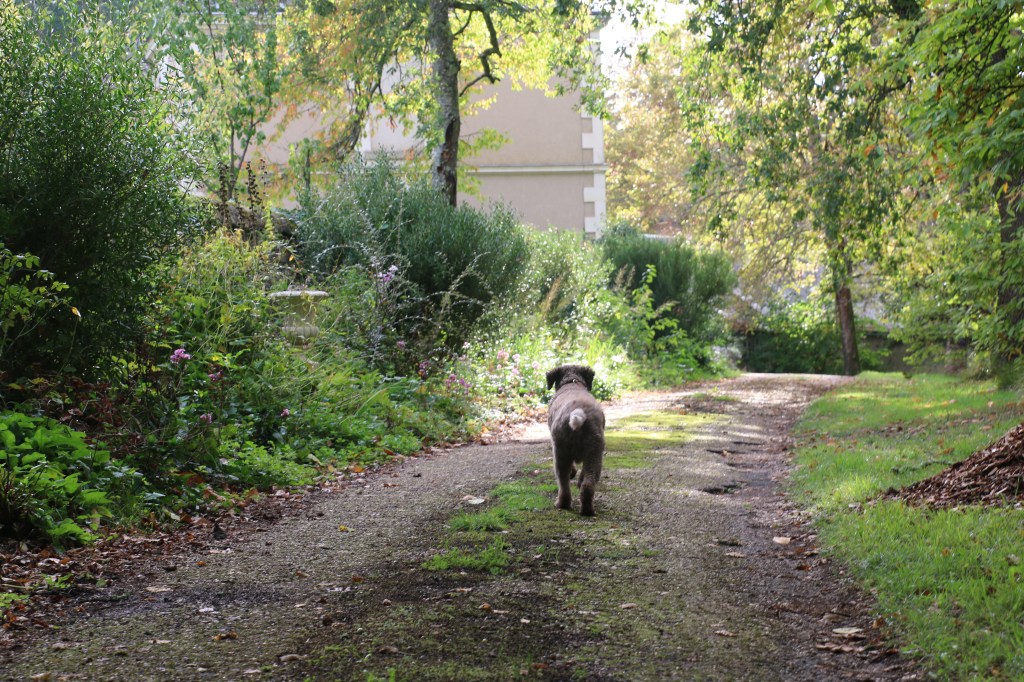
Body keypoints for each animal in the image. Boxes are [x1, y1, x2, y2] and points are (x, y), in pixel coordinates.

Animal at [546, 364, 605, 516]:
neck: (572, 382)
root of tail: (577, 414)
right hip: (593, 454)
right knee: (587, 483)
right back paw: (586, 509)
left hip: (562, 453)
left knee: (564, 482)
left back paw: (563, 504)